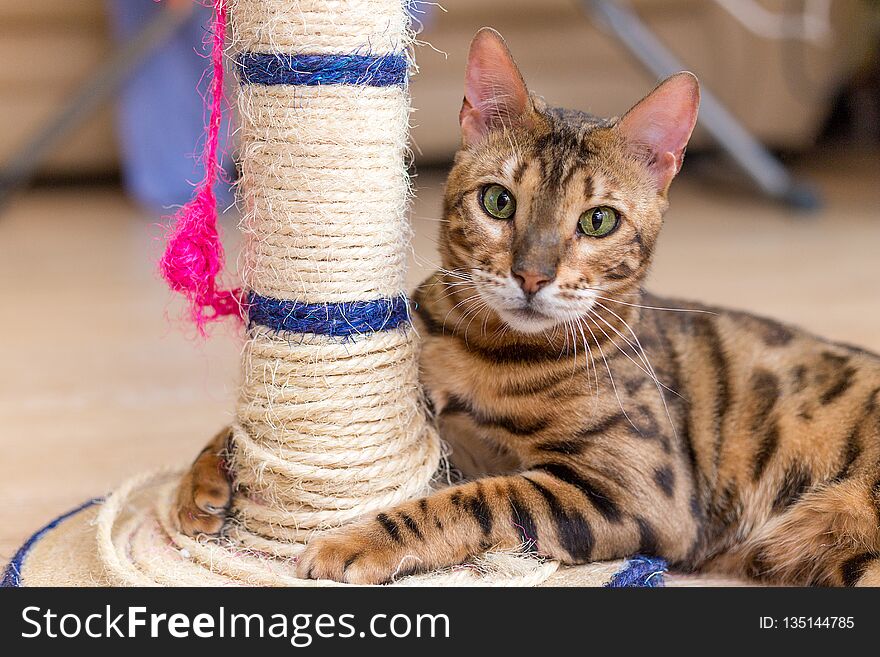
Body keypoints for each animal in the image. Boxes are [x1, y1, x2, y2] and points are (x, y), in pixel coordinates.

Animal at [179, 29, 880, 584]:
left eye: (598, 220)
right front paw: (203, 479)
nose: (532, 275)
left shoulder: (634, 491)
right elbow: (242, 429)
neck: (488, 351)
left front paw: (356, 539)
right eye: (497, 202)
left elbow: (479, 500)